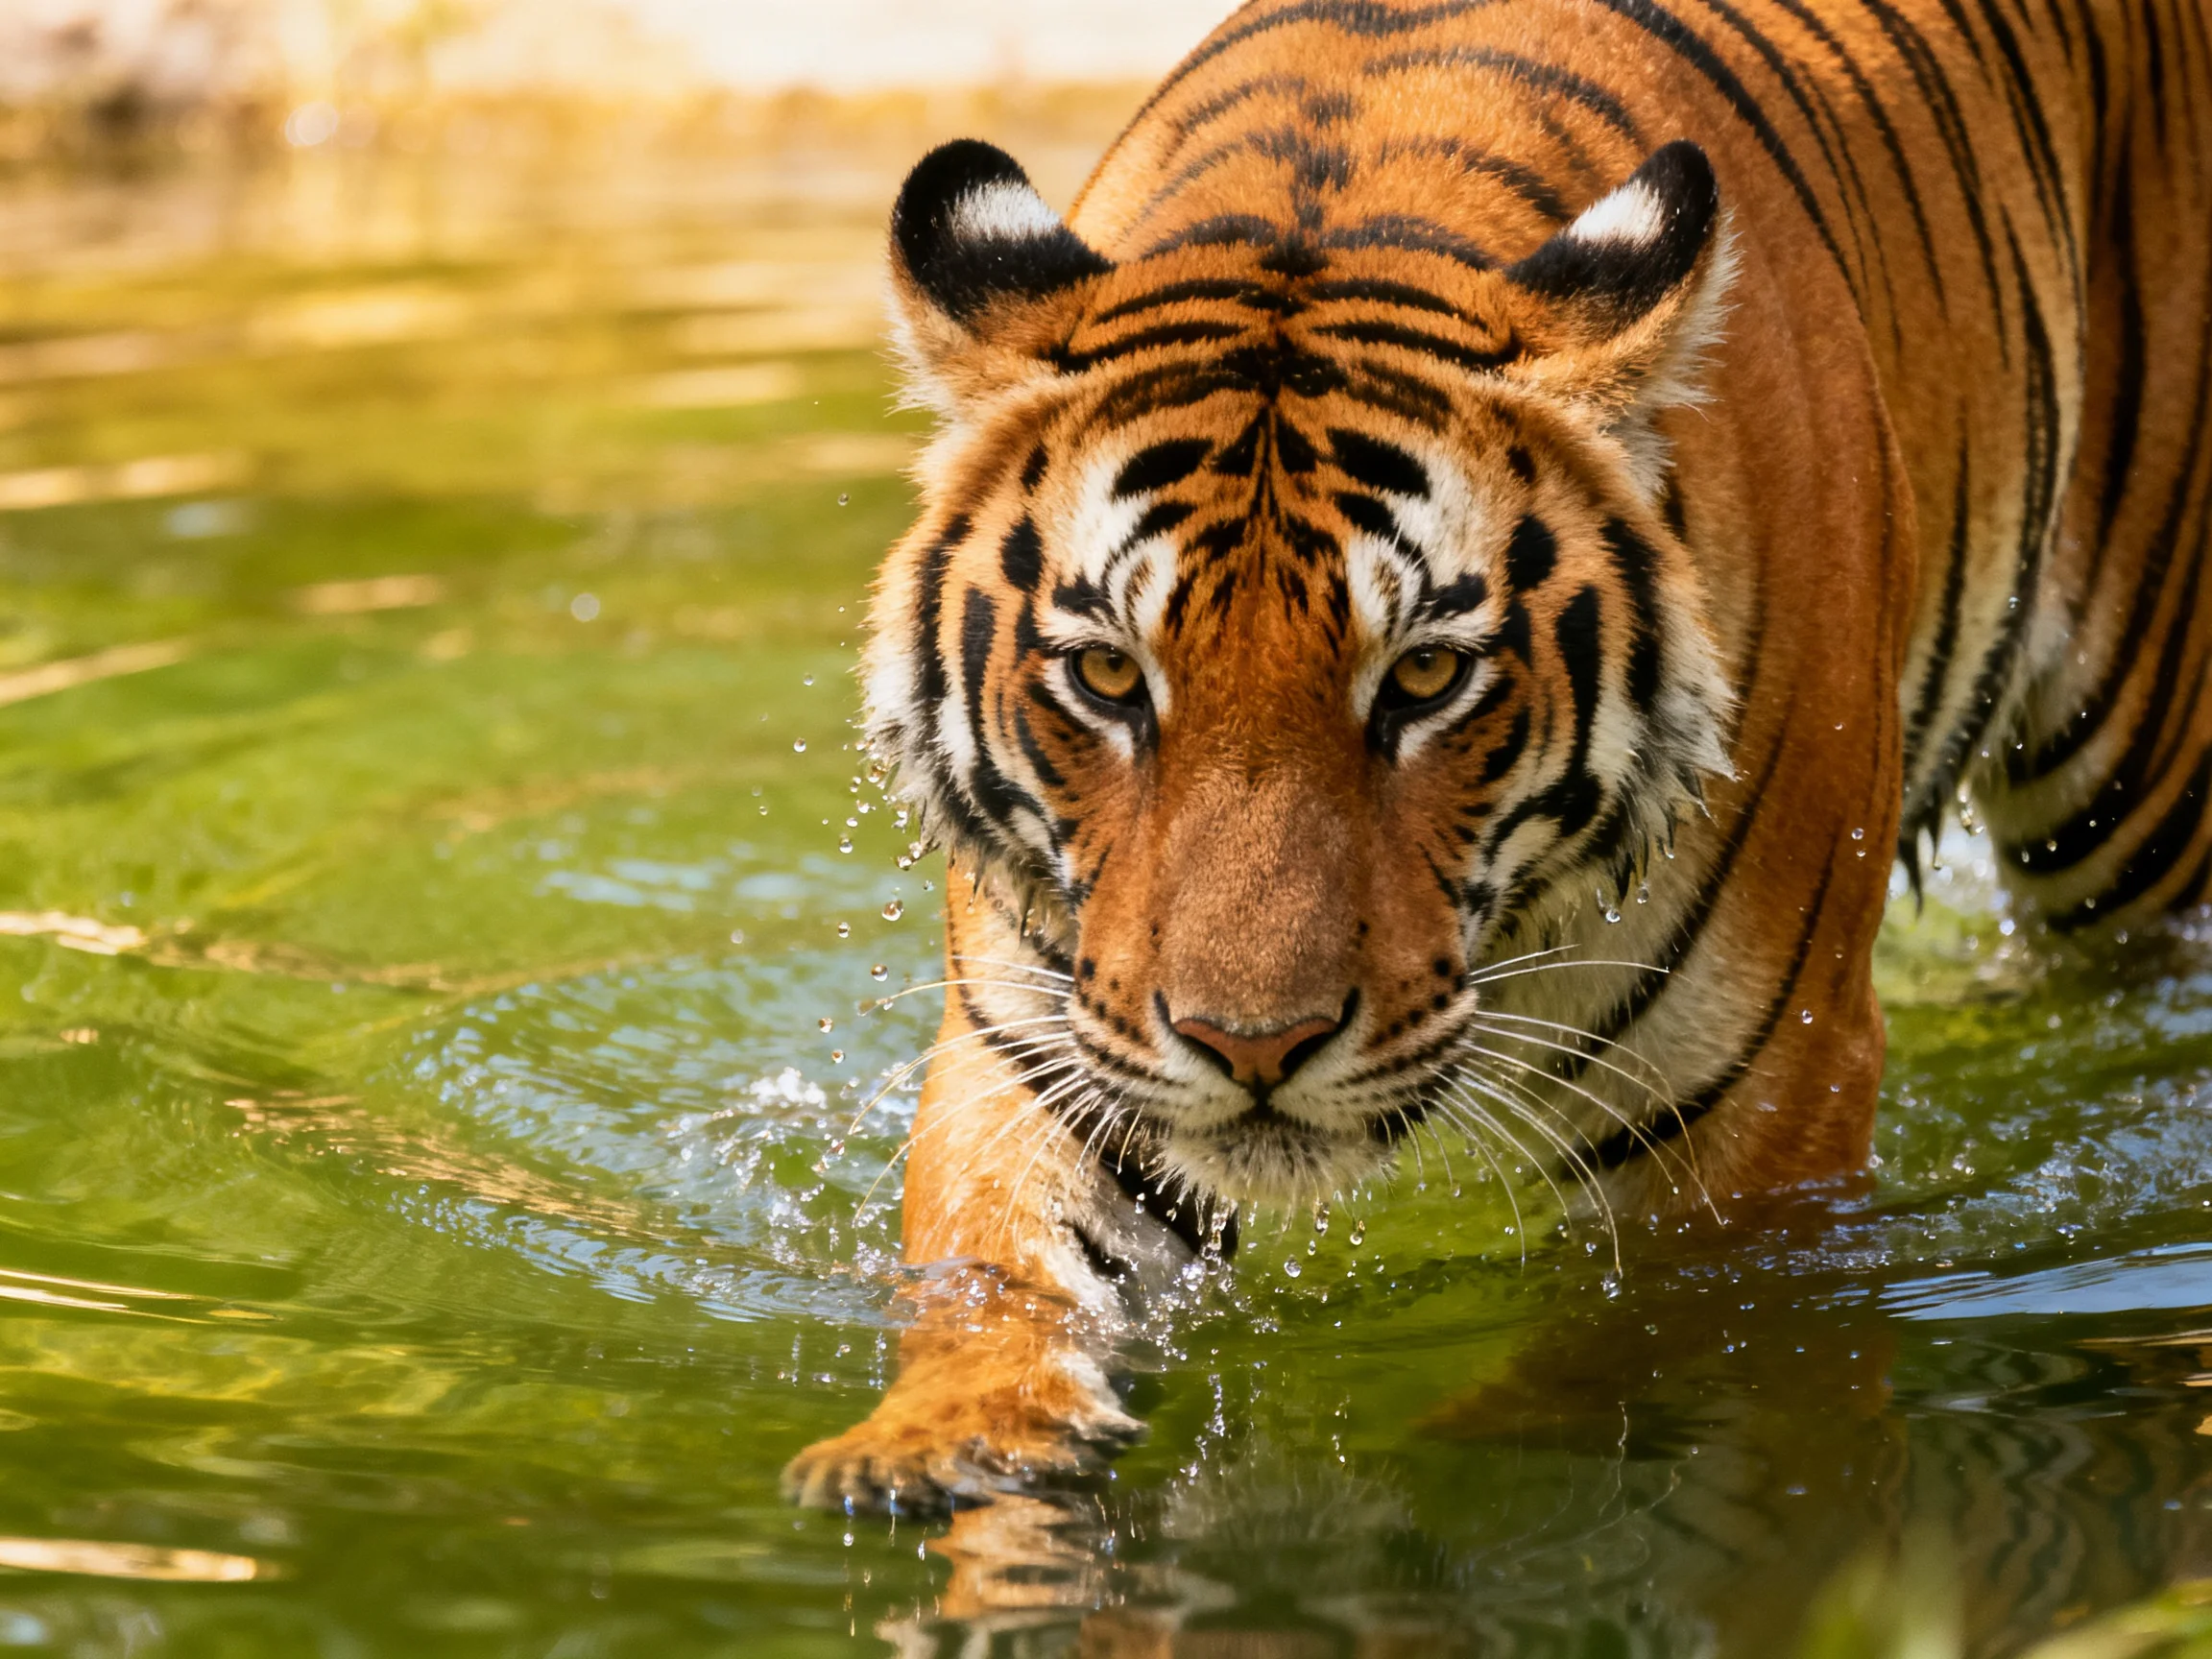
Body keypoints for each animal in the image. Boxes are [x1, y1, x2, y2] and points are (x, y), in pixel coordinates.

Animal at [783, 0, 2212, 1514]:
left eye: (1425, 676)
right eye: (1111, 675)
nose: (1254, 1047)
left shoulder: (1758, 1122)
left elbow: (1630, 1357)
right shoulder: (1046, 1033)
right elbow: (993, 1270)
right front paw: (937, 1447)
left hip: (2128, 781)